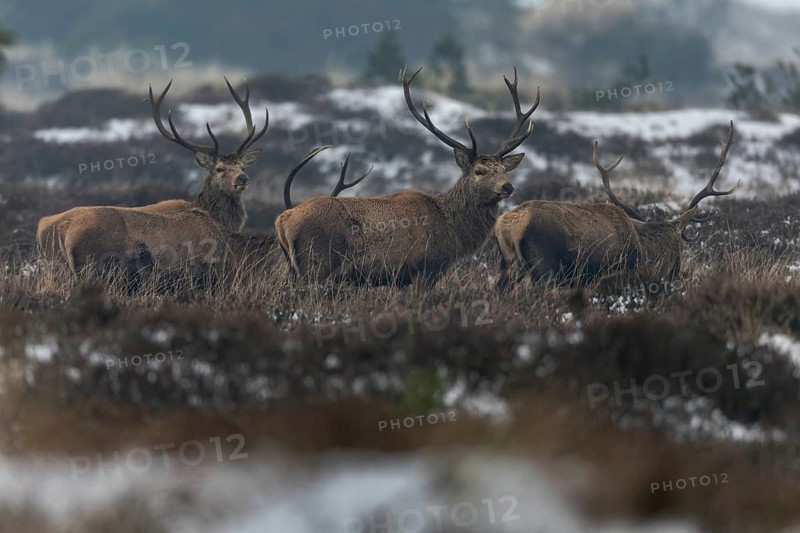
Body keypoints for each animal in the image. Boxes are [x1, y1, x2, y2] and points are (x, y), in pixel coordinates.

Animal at [274, 66, 539, 287]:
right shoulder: (424, 269)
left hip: (294, 268)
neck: (453, 231)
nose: (508, 187)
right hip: (316, 265)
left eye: (503, 170)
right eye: (479, 171)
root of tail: (283, 220)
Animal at [494, 122, 739, 290]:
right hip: (545, 268)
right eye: (677, 247)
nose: (677, 273)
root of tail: (507, 225)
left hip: (508, 266)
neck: (646, 251)